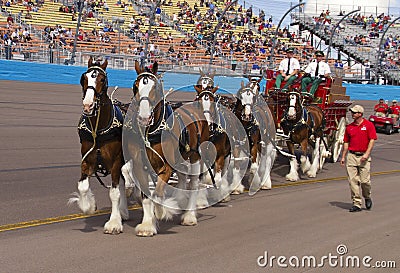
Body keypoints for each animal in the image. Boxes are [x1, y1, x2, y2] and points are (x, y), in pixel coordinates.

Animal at [69, 55, 128, 234]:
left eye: (102, 79)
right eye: (83, 78)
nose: (88, 105)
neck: (98, 129)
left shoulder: (116, 162)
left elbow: (114, 193)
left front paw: (114, 223)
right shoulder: (87, 159)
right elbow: (82, 186)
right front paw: (89, 205)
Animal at [121, 60, 209, 235]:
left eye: (154, 87)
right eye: (135, 86)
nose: (143, 117)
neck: (151, 132)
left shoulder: (166, 167)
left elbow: (158, 192)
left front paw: (162, 212)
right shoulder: (139, 165)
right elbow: (146, 196)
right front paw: (147, 224)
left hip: (195, 157)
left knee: (193, 184)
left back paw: (189, 216)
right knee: (182, 178)